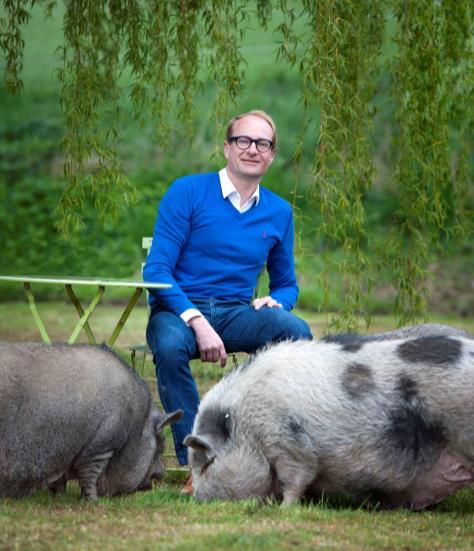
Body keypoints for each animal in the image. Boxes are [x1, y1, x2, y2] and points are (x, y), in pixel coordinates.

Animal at [0, 342, 182, 498]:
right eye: (162, 443)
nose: (162, 473)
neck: (136, 425)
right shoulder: (101, 446)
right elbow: (90, 477)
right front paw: (94, 501)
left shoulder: (64, 454)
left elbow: (60, 480)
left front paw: (58, 497)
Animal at [184, 324, 474, 508]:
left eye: (206, 463)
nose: (193, 499)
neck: (243, 425)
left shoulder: (287, 441)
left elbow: (296, 477)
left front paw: (283, 509)